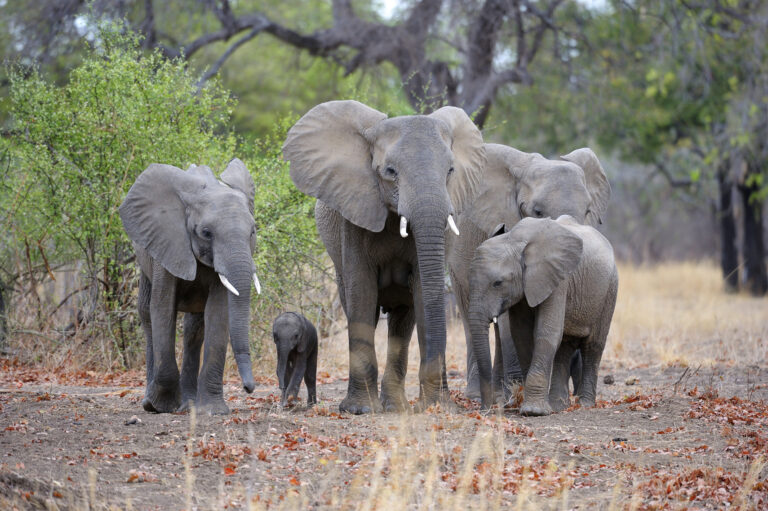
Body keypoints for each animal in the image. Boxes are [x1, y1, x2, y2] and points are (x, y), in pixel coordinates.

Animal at [119, 159, 261, 415]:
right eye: (206, 233)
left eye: (252, 231)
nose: (249, 388)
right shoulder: (166, 241)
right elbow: (163, 308)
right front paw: (160, 405)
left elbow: (218, 313)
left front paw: (212, 411)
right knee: (146, 314)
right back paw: (152, 401)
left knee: (194, 329)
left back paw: (189, 405)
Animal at [283, 100, 486, 414]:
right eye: (390, 171)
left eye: (451, 171)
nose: (439, 403)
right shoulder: (354, 214)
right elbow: (362, 291)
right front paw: (359, 410)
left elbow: (423, 294)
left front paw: (434, 407)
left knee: (403, 319)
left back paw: (395, 406)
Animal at [468, 215, 618, 415]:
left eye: (498, 283)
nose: (484, 410)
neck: (515, 240)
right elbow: (521, 335)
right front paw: (532, 407)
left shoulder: (558, 278)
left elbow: (546, 331)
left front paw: (533, 411)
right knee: (565, 346)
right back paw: (559, 406)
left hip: (609, 290)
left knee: (593, 346)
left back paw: (585, 404)